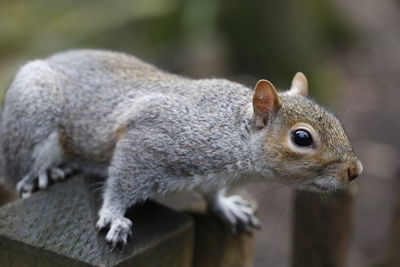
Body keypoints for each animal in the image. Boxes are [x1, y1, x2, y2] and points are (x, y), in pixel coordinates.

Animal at [0, 49, 362, 249]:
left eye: (336, 120)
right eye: (301, 138)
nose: (355, 171)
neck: (231, 134)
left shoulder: (214, 178)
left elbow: (213, 196)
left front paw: (227, 208)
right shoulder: (150, 139)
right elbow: (121, 181)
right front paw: (114, 216)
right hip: (33, 118)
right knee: (21, 170)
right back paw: (44, 173)